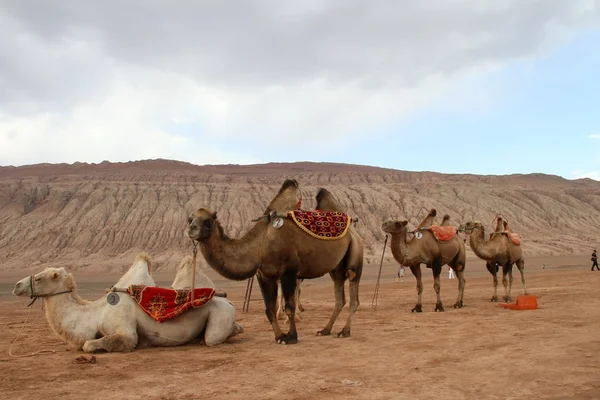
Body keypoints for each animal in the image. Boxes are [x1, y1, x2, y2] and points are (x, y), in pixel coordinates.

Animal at [11, 253, 243, 354]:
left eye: (39, 278)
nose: (17, 285)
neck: (96, 313)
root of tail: (229, 302)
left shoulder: (125, 331)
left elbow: (89, 345)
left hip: (220, 317)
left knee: (214, 337)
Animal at [188, 179, 364, 344]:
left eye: (208, 221)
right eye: (190, 219)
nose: (191, 229)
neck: (261, 244)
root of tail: (353, 230)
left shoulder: (289, 271)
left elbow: (290, 307)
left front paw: (291, 337)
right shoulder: (264, 275)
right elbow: (269, 310)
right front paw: (279, 336)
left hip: (356, 252)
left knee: (354, 293)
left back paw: (345, 331)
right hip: (336, 268)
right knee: (340, 297)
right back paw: (325, 330)